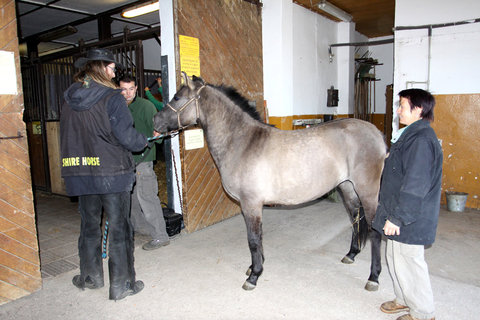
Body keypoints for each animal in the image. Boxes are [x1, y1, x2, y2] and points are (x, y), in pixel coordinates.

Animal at [154, 73, 386, 292]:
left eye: (177, 97)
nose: (155, 121)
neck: (243, 143)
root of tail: (376, 134)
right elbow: (257, 238)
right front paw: (254, 268)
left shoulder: (251, 204)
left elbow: (253, 239)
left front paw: (254, 275)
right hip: (347, 188)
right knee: (356, 219)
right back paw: (351, 254)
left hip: (368, 192)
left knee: (375, 232)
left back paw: (373, 277)